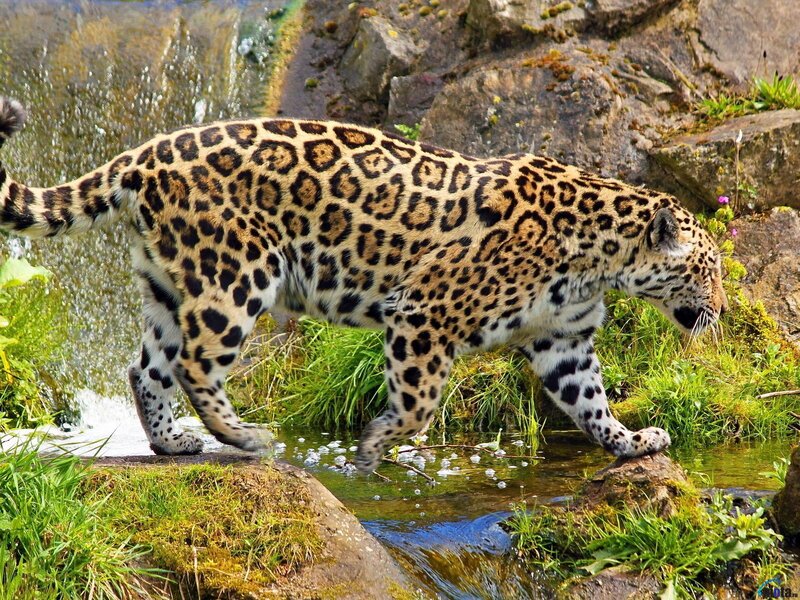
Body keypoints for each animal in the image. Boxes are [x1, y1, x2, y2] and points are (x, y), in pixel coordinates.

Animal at [0, 97, 727, 473]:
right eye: (710, 270)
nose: (720, 311)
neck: (601, 257)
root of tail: (145, 153)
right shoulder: (425, 311)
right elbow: (421, 402)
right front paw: (377, 445)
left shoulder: (563, 342)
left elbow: (591, 402)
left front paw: (632, 442)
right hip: (236, 273)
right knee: (198, 362)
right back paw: (246, 438)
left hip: (168, 287)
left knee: (146, 367)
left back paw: (171, 441)